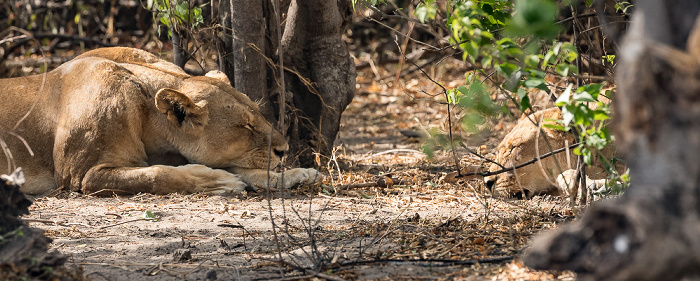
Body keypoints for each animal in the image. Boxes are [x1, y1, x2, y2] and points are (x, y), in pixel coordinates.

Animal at [1, 46, 318, 195]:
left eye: (259, 115)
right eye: (246, 126)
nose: (284, 150)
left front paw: (296, 174)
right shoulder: (81, 175)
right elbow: (158, 175)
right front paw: (220, 181)